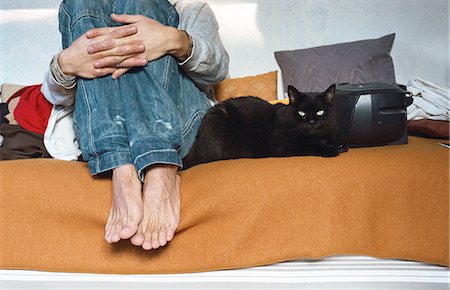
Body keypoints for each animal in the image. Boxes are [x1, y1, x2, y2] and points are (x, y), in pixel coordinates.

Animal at [181, 83, 346, 170]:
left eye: (320, 112)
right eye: (301, 112)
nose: (311, 121)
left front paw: (340, 145)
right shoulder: (285, 145)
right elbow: (310, 145)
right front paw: (331, 150)